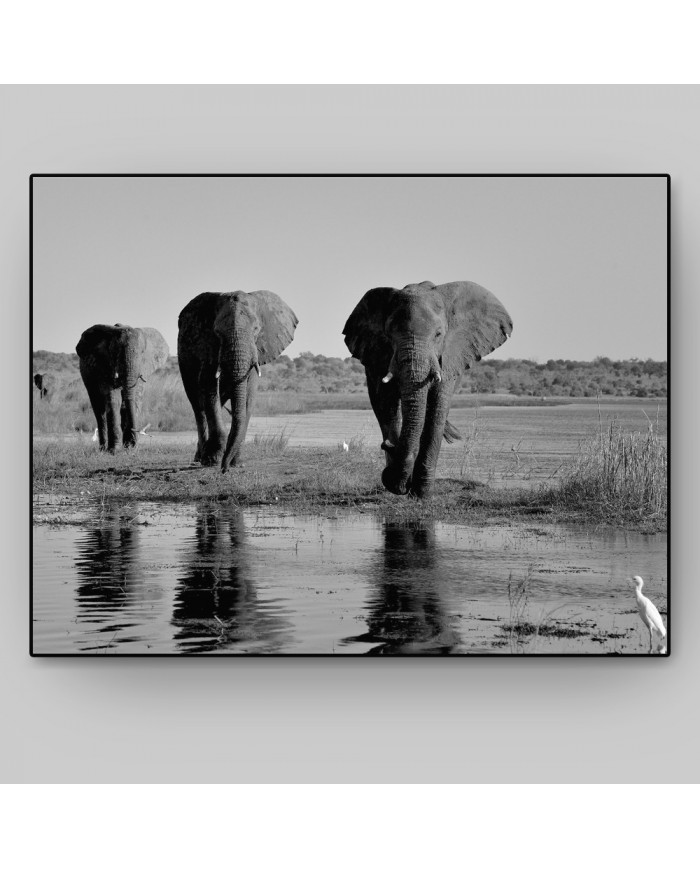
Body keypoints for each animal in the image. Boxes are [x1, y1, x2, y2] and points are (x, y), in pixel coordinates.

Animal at [76, 323, 169, 452]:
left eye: (142, 353)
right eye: (117, 352)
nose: (134, 443)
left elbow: (134, 400)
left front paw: (129, 448)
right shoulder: (104, 365)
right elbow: (114, 399)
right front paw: (114, 450)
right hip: (88, 378)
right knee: (99, 409)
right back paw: (103, 449)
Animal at [177, 291, 298, 470]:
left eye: (256, 330)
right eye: (217, 332)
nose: (224, 469)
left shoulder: (256, 352)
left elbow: (248, 397)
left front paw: (237, 463)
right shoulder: (208, 347)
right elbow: (209, 391)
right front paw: (213, 460)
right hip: (184, 361)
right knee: (197, 406)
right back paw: (201, 458)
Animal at [343, 280, 512, 498]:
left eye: (439, 335)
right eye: (389, 335)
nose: (387, 445)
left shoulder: (449, 357)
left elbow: (437, 408)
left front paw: (422, 493)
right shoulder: (379, 356)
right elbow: (387, 404)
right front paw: (399, 483)